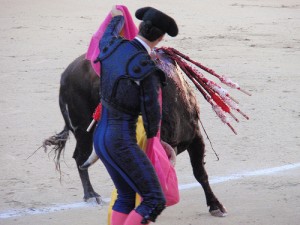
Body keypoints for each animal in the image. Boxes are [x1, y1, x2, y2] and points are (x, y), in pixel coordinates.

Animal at [42, 51, 227, 216]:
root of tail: (66, 74)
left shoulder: (195, 137)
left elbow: (200, 173)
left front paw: (215, 206)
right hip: (82, 129)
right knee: (80, 157)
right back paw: (91, 195)